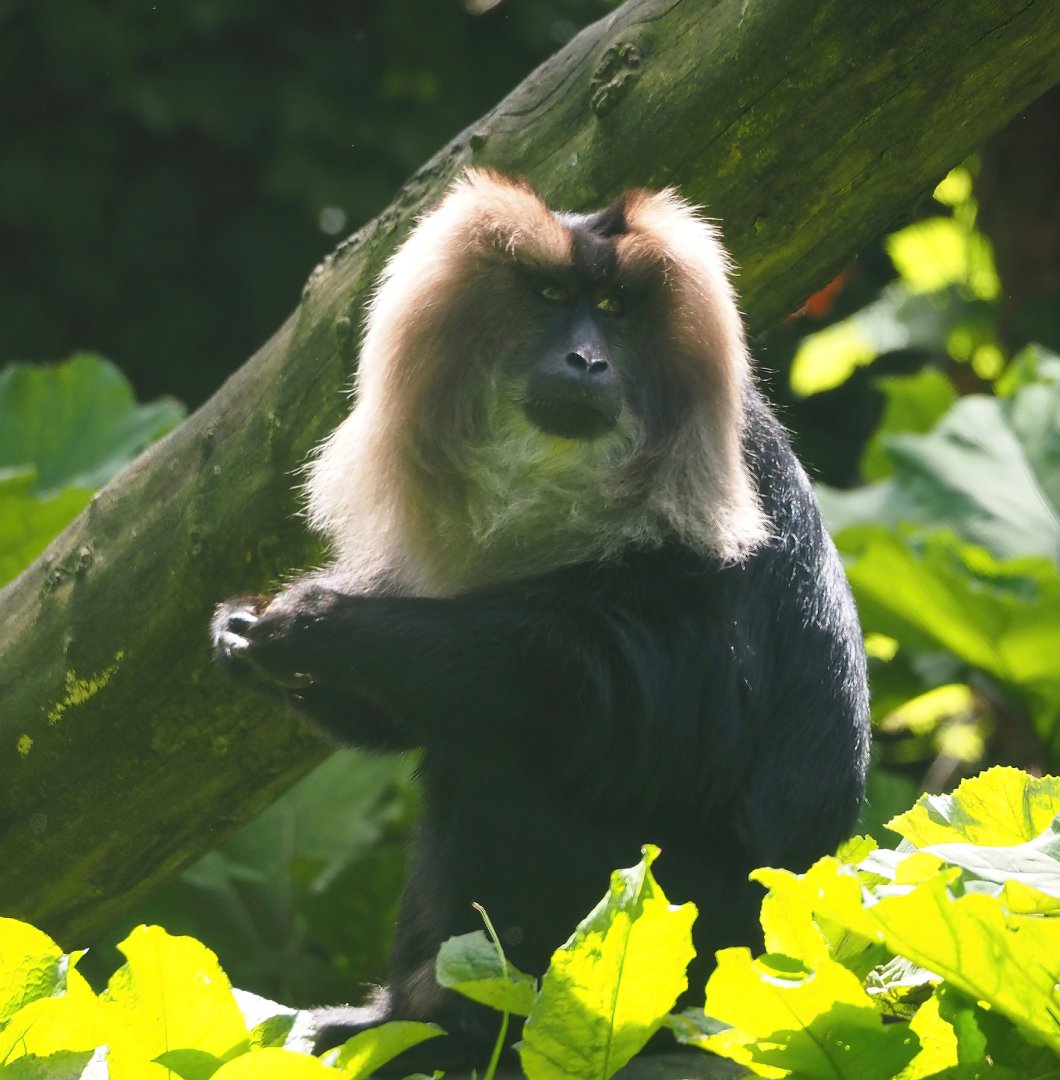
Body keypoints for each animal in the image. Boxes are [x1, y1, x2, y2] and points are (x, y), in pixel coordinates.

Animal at [212, 169, 871, 1068]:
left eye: (617, 309)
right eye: (556, 297)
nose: (587, 357)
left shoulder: (729, 513)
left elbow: (665, 721)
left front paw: (324, 626)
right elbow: (408, 716)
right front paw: (245, 631)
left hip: (696, 941)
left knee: (504, 747)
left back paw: (451, 1023)